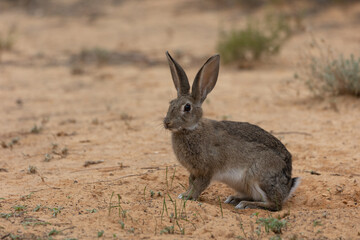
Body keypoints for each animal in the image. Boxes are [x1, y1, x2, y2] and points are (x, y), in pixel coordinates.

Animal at [162, 52, 298, 210]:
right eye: (171, 103)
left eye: (187, 107)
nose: (167, 122)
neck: (191, 129)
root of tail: (287, 187)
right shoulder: (194, 171)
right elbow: (191, 182)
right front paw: (184, 195)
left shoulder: (207, 170)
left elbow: (199, 186)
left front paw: (189, 197)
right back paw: (234, 199)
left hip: (259, 176)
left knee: (274, 205)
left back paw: (245, 204)